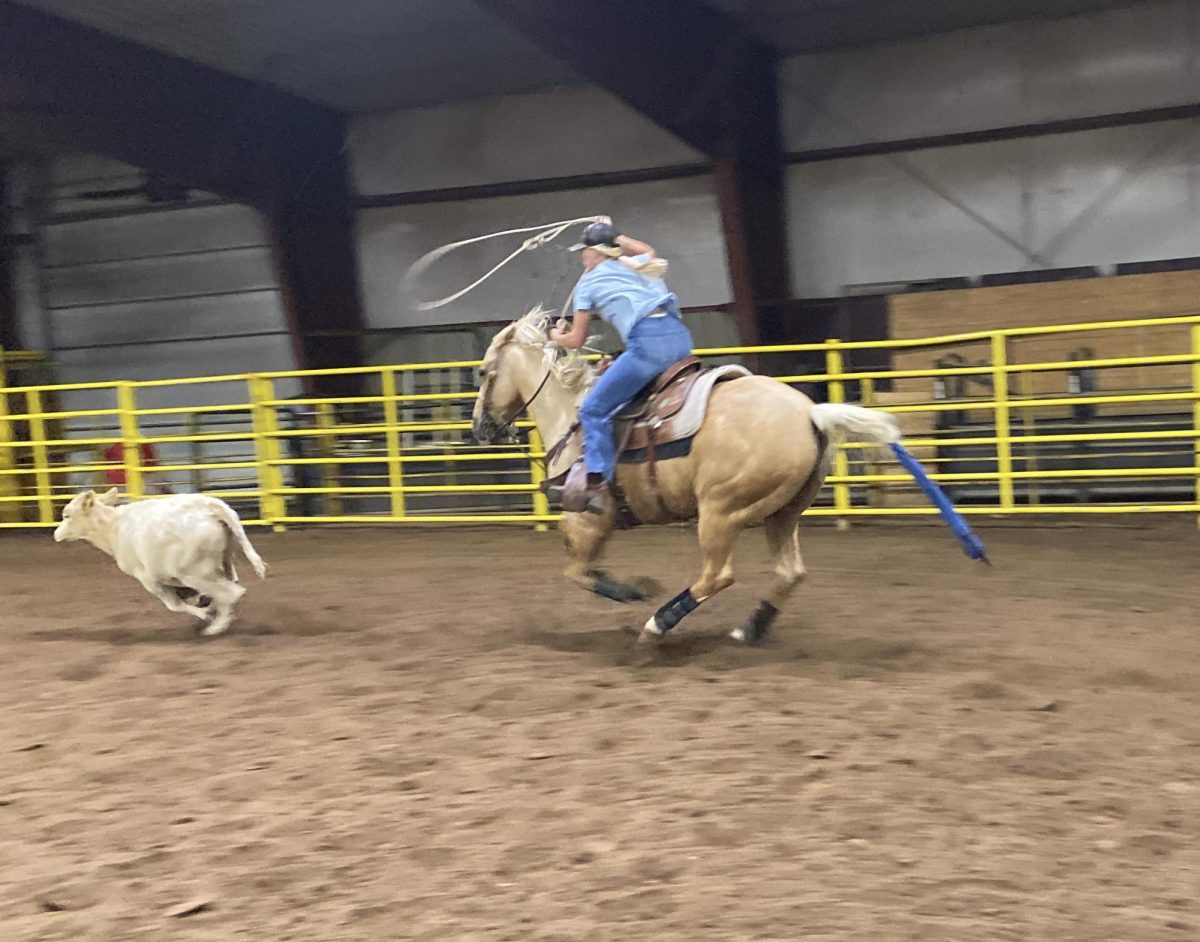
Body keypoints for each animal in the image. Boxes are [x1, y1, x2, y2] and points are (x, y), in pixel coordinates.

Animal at [54, 489, 267, 633]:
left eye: (66, 515)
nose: (56, 534)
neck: (112, 527)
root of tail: (211, 508)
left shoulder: (149, 579)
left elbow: (174, 605)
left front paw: (205, 613)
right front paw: (204, 606)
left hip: (194, 572)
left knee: (232, 593)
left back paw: (217, 627)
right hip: (220, 562)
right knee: (230, 587)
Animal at [472, 312, 902, 643]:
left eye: (483, 372)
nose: (479, 427)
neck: (573, 417)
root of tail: (810, 414)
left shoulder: (586, 521)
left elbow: (576, 573)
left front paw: (634, 591)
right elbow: (583, 571)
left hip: (720, 511)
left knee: (717, 575)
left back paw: (657, 625)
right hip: (783, 513)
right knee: (790, 572)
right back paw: (749, 629)